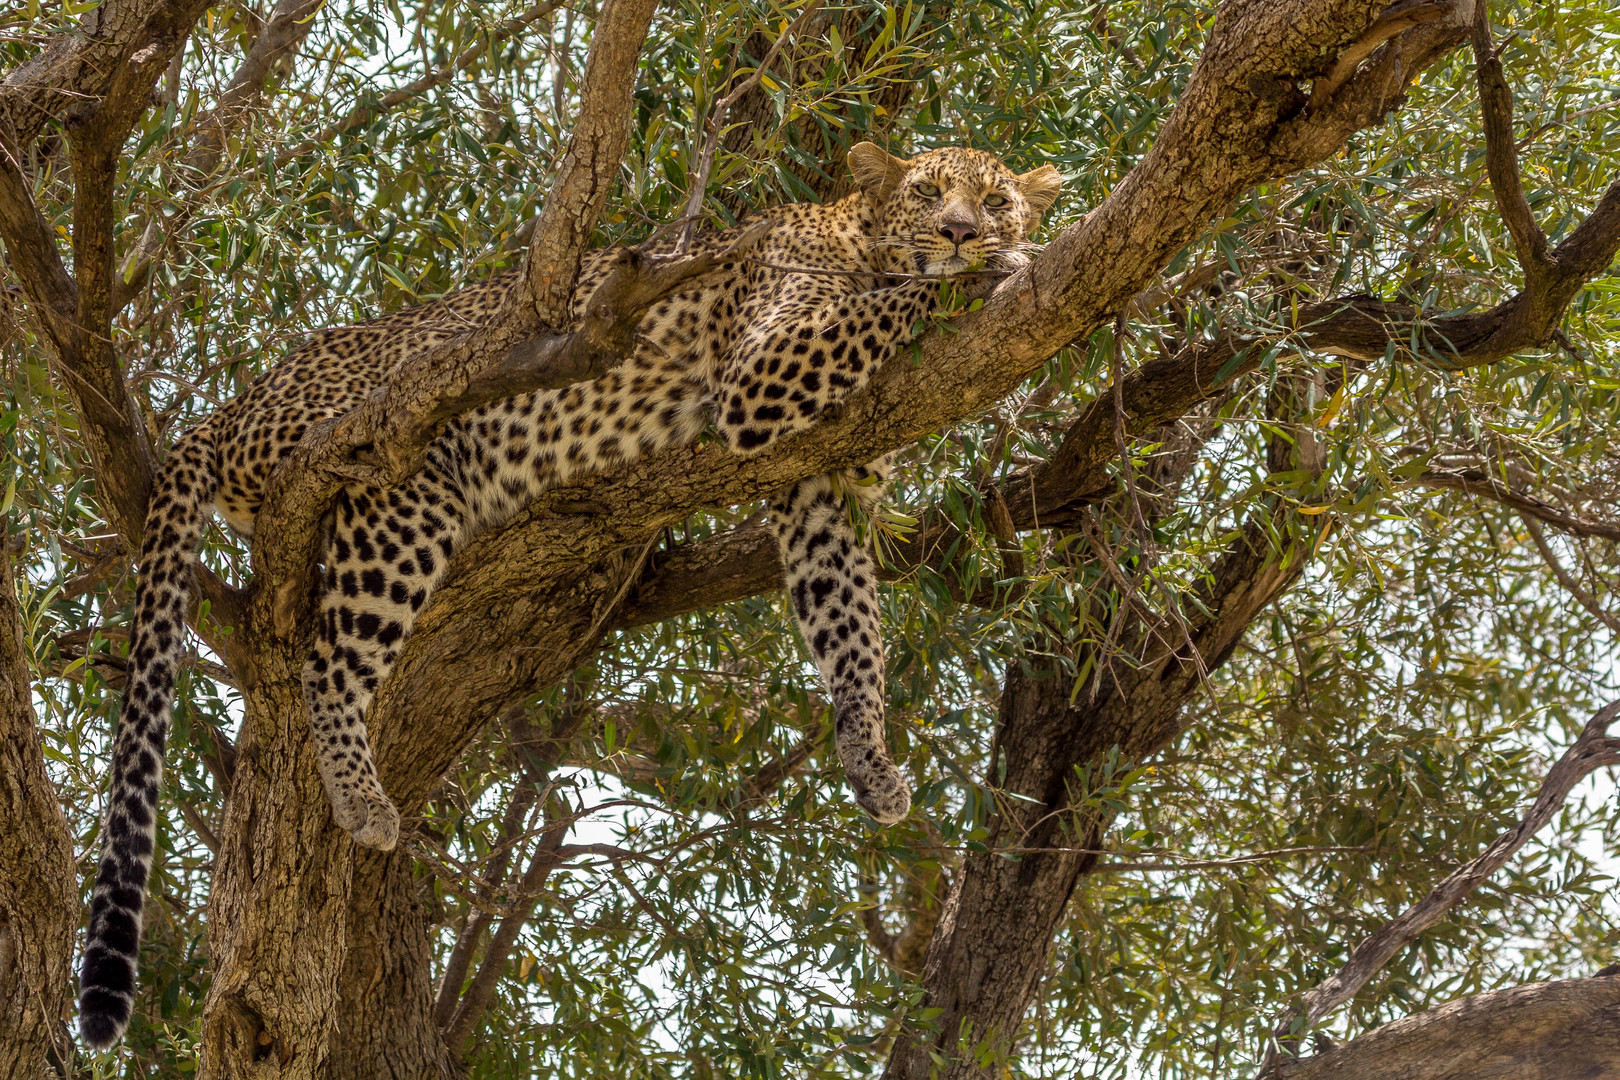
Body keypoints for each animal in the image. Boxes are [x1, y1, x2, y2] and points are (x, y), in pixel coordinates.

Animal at [78, 139, 1062, 1042]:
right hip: (399, 480)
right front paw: (992, 271)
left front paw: (870, 760)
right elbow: (891, 304)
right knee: (331, 656)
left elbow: (850, 628)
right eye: (928, 193)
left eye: (996, 198)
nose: (964, 230)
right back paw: (361, 801)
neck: (863, 239)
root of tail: (229, 409)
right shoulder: (764, 371)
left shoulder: (816, 485)